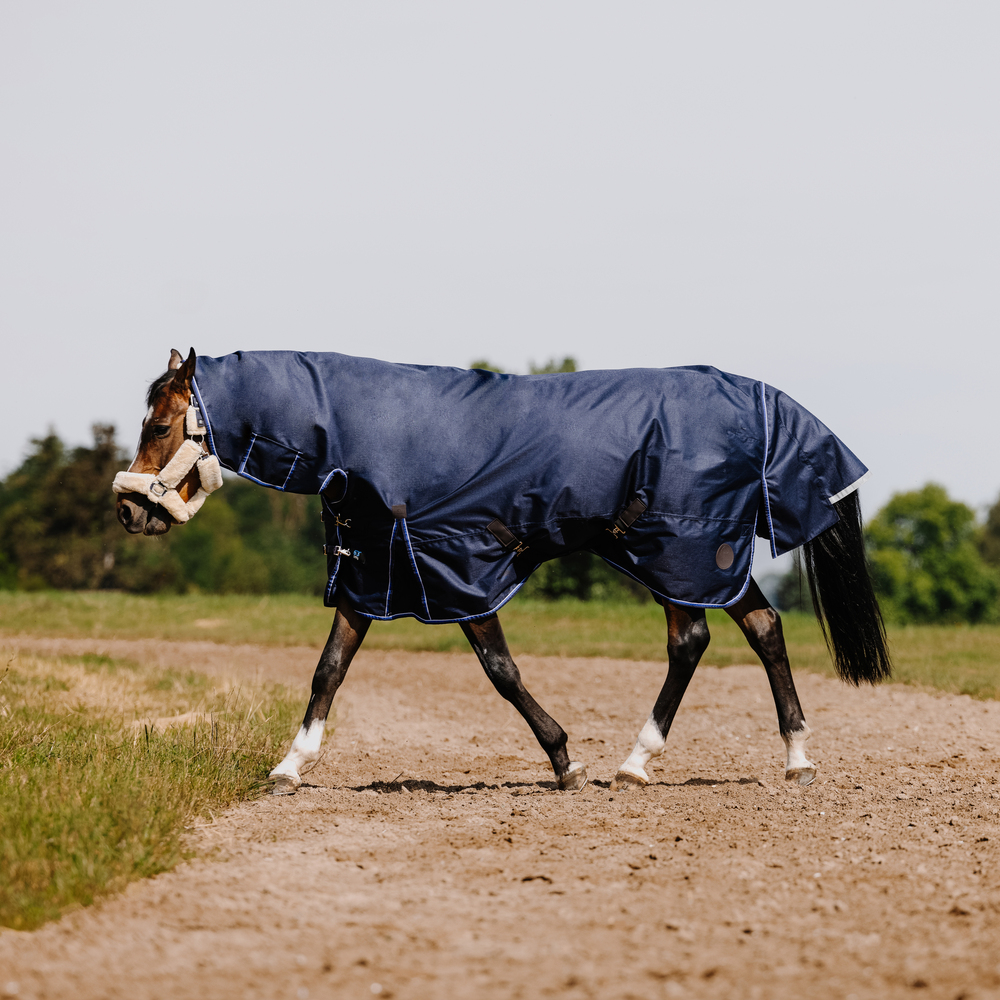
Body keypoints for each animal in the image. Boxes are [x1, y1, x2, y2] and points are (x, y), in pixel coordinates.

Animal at [115, 348, 891, 795]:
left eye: (159, 425)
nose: (127, 511)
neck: (371, 434)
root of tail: (763, 405)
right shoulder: (377, 569)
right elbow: (328, 670)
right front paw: (289, 764)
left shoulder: (456, 568)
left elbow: (501, 672)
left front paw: (566, 762)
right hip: (696, 560)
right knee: (762, 627)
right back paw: (794, 757)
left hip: (678, 553)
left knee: (693, 641)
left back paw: (636, 761)